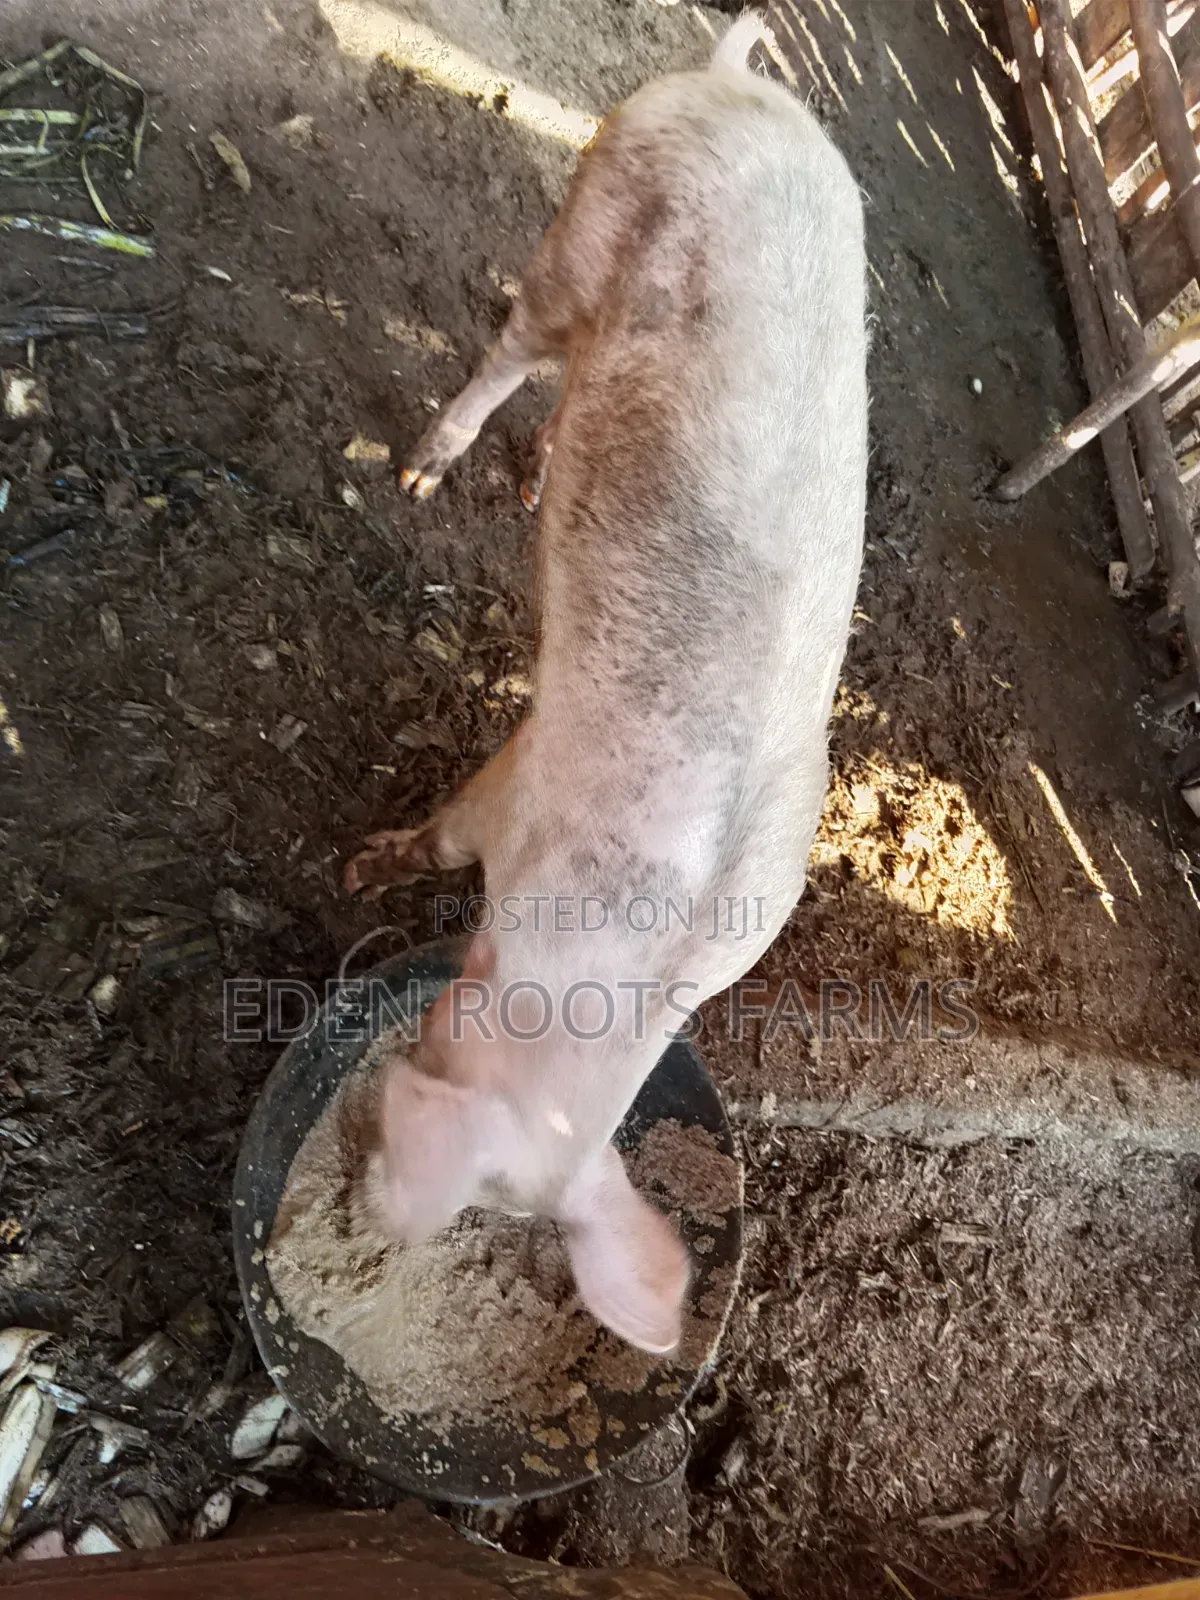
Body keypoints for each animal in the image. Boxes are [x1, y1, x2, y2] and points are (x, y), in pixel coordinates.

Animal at [344, 13, 867, 1355]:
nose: (374, 1208)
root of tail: (734, 84)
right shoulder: (525, 776)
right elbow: (443, 833)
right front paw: (366, 868)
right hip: (584, 220)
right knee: (513, 343)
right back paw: (421, 477)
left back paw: (532, 491)